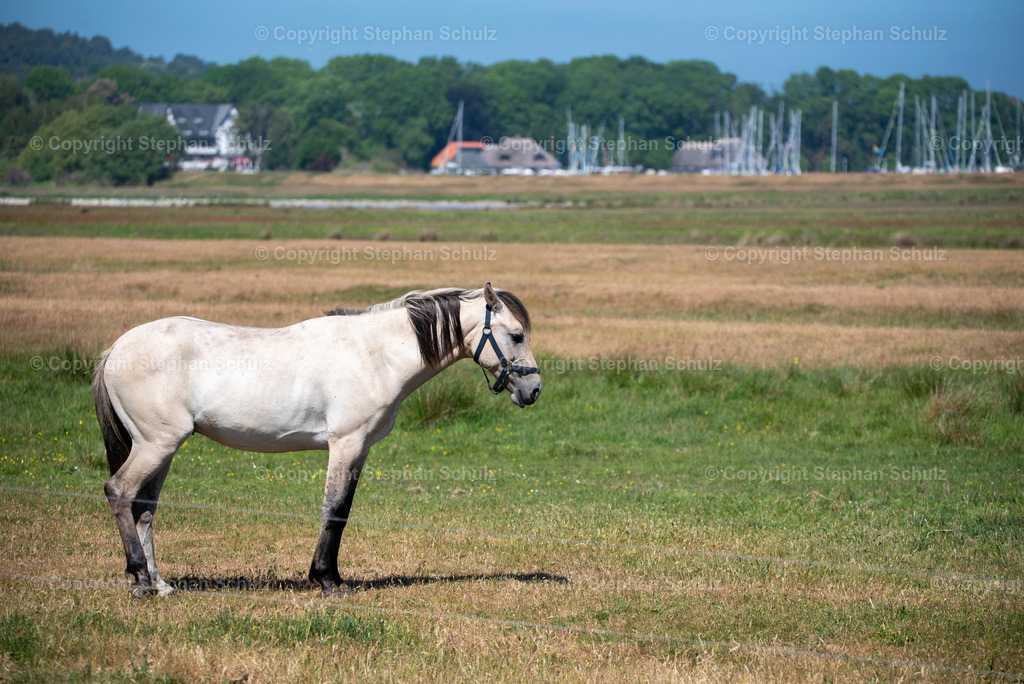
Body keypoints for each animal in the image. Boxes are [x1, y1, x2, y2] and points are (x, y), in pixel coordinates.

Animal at [91, 283, 541, 597]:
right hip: (155, 445)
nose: (533, 390)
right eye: (517, 334)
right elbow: (333, 508)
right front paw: (326, 581)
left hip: (162, 448)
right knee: (119, 491)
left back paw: (159, 583)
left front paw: (334, 577)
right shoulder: (346, 444)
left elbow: (342, 511)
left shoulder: (360, 450)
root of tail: (115, 350)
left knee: (144, 509)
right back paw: (139, 579)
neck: (375, 354)